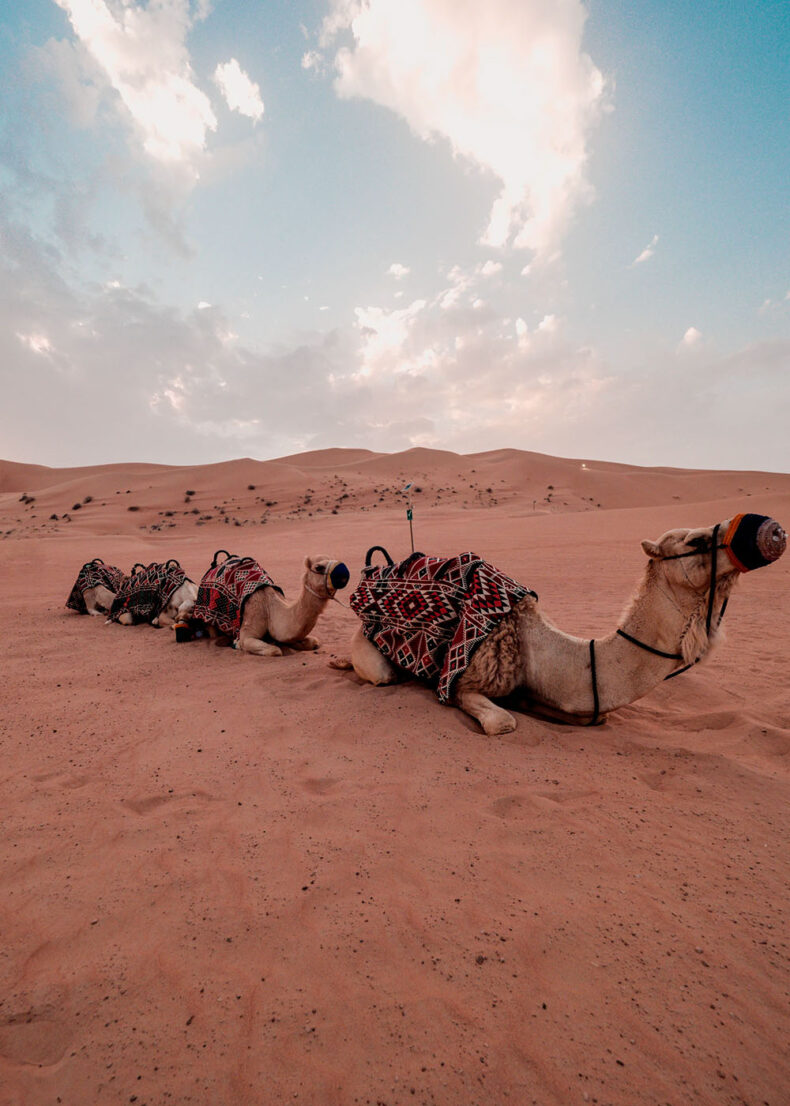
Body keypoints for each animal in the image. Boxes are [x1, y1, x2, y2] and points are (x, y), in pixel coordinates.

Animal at [190, 548, 347, 650]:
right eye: (319, 567)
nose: (343, 571)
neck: (270, 609)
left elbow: (313, 642)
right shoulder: (247, 633)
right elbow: (274, 650)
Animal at [329, 510, 783, 734]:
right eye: (695, 541)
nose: (770, 529)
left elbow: (593, 716)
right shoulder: (465, 681)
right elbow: (502, 722)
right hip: (369, 647)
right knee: (379, 672)